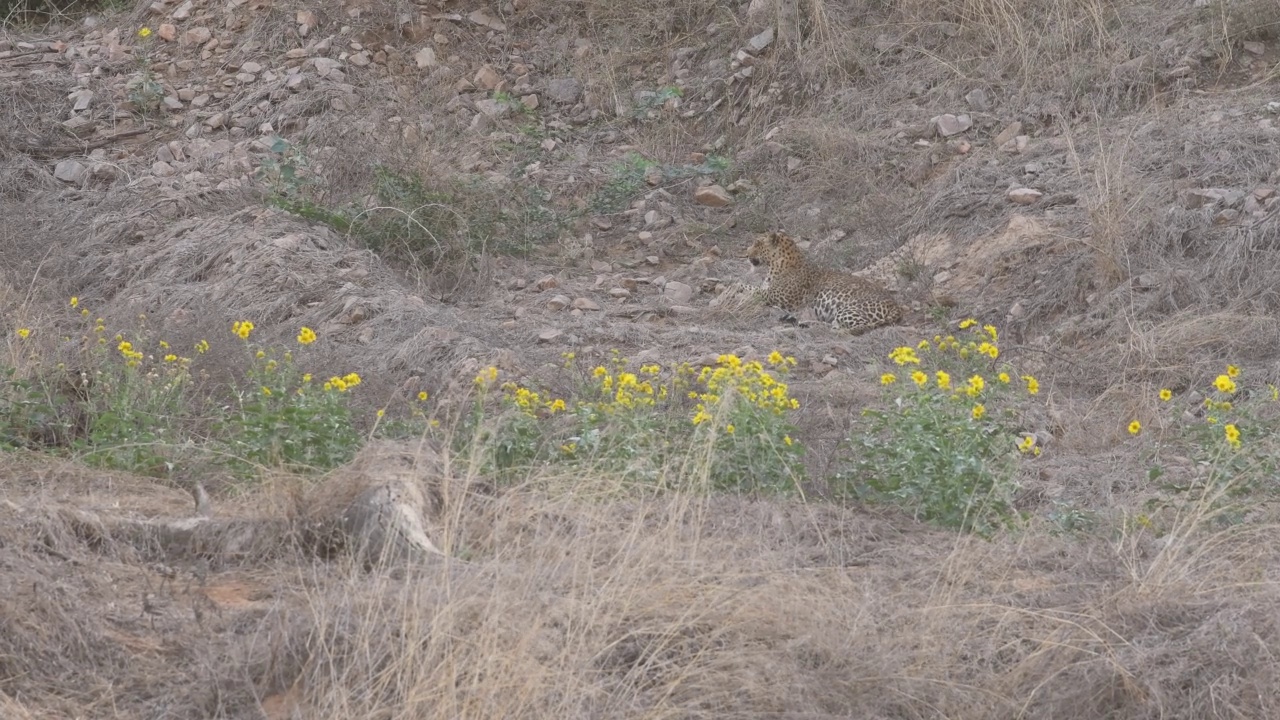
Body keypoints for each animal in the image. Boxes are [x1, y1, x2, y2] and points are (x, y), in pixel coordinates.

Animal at [742, 229, 901, 333]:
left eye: (757, 243)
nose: (746, 254)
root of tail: (895, 305)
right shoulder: (769, 292)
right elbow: (755, 288)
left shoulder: (776, 296)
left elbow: (751, 288)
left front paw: (737, 286)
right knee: (834, 324)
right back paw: (801, 322)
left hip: (848, 309)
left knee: (858, 327)